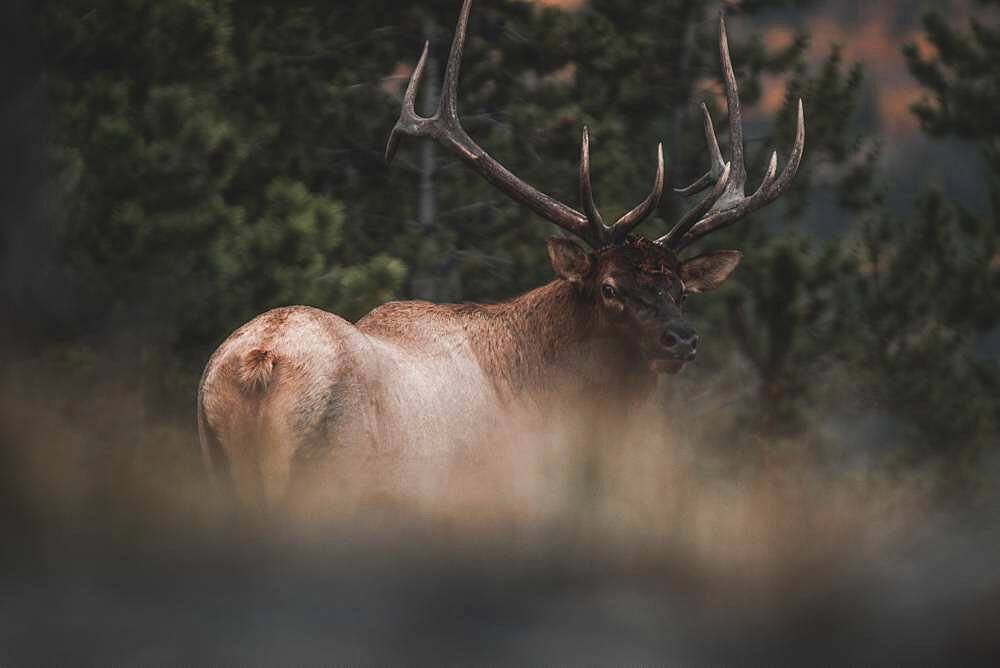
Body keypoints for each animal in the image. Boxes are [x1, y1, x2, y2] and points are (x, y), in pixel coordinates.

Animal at [195, 0, 804, 512]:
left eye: (680, 289)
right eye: (609, 287)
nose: (683, 339)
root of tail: (259, 363)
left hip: (218, 465)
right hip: (326, 478)